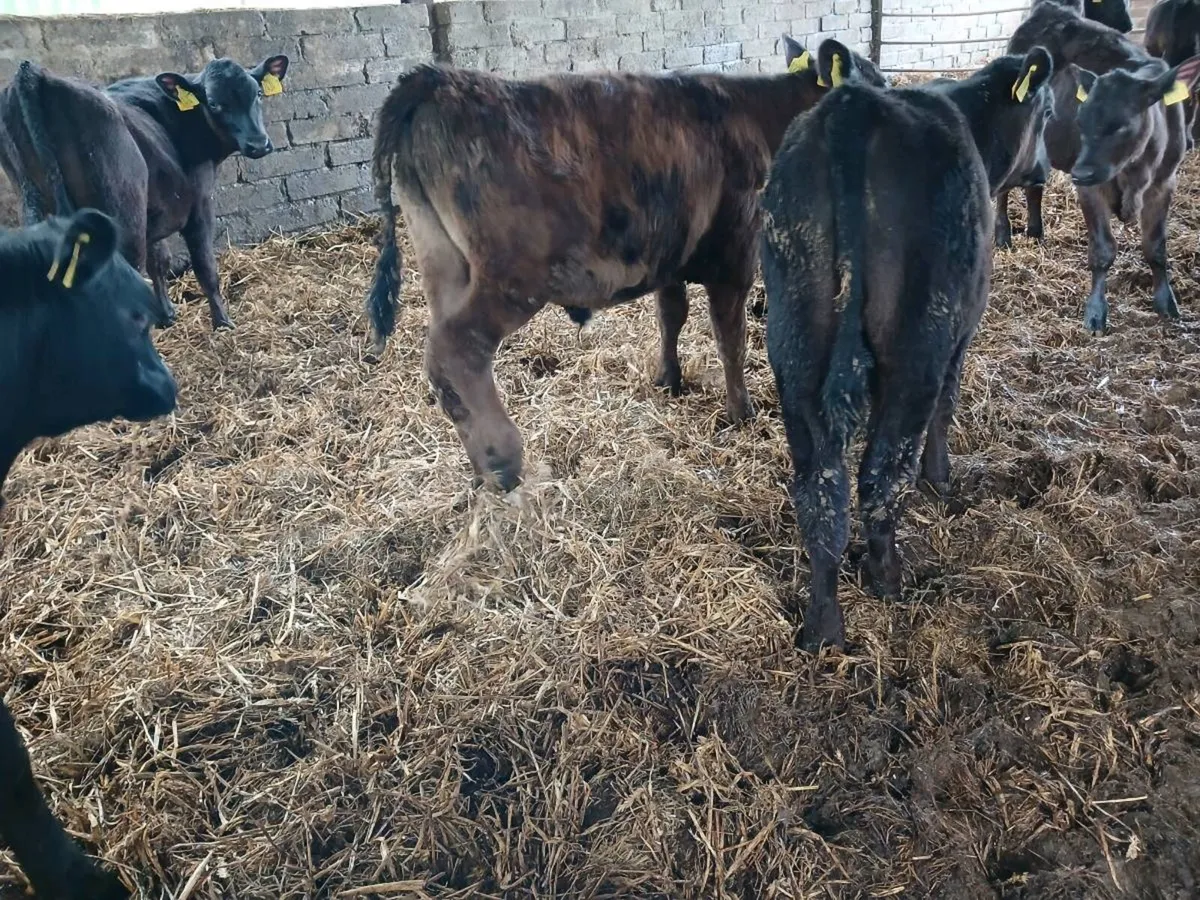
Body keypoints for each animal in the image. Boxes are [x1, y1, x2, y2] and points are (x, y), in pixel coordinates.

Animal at [0, 54, 289, 331]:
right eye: (215, 103)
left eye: (258, 93)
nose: (258, 144)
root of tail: (32, 73)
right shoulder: (200, 201)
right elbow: (204, 264)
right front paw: (223, 323)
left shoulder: (154, 208)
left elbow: (159, 260)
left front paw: (166, 315)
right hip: (122, 217)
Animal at [363, 39, 885, 492]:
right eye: (875, 82)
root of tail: (438, 79)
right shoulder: (736, 257)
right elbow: (730, 340)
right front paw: (743, 411)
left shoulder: (673, 258)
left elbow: (671, 318)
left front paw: (669, 380)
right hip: (507, 279)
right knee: (459, 351)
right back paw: (502, 462)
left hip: (443, 264)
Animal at [760, 47, 1055, 651]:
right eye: (1047, 114)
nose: (1043, 170)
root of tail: (853, 110)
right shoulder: (960, 335)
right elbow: (947, 406)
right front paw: (939, 479)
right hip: (918, 346)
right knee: (880, 473)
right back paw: (889, 579)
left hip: (794, 350)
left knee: (819, 489)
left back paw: (823, 629)